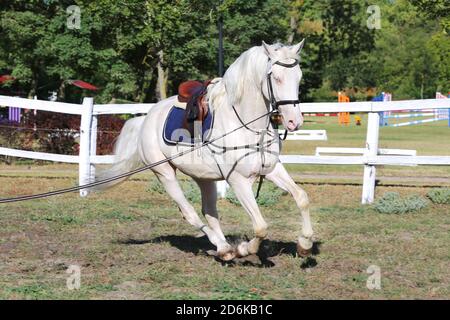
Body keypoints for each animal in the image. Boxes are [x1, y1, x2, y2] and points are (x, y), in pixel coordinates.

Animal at [95, 41, 312, 262]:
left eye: (299, 77)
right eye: (276, 78)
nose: (294, 122)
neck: (248, 127)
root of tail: (146, 118)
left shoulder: (271, 169)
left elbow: (302, 198)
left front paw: (305, 244)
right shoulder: (237, 180)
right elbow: (260, 227)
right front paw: (244, 249)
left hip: (204, 177)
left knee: (209, 211)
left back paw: (224, 248)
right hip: (164, 173)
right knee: (189, 212)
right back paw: (224, 248)